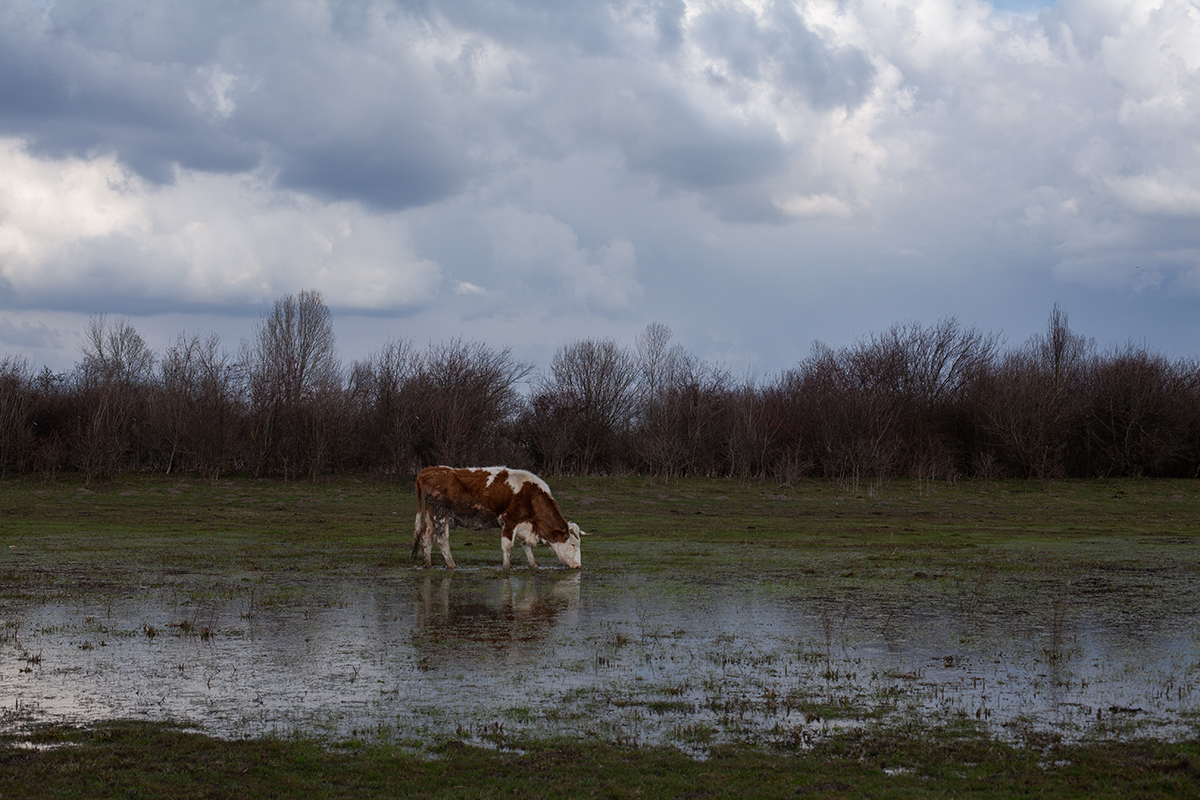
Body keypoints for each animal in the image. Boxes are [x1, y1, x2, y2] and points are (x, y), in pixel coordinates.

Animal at [412, 466, 585, 570]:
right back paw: (452, 565)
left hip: (430, 515)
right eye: (573, 544)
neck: (530, 496)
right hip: (441, 515)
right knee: (441, 540)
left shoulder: (523, 525)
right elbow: (507, 546)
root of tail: (429, 470)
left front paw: (534, 565)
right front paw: (506, 567)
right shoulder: (510, 521)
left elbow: (527, 547)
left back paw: (427, 564)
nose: (578, 566)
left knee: (426, 537)